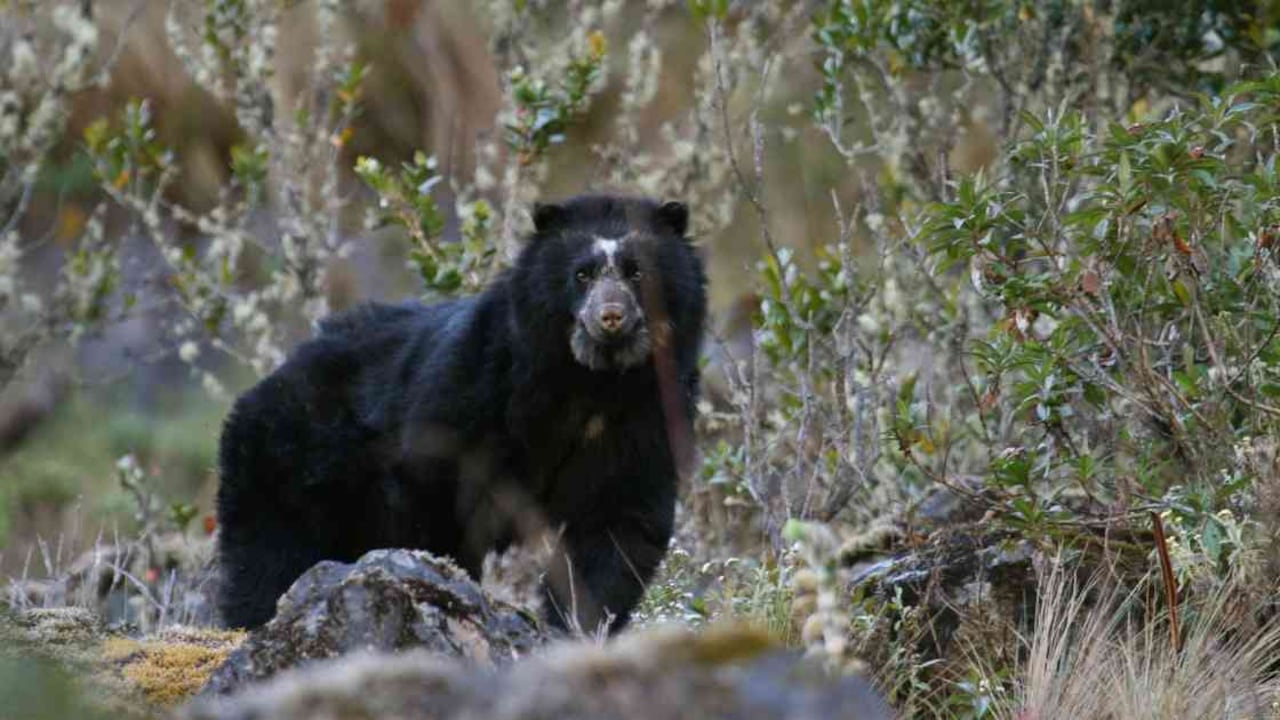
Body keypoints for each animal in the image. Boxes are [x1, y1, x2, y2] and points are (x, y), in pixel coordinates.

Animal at [215, 194, 707, 634]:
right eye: (581, 274)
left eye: (637, 272)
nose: (610, 317)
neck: (591, 383)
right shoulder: (475, 388)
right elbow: (432, 489)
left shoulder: (648, 416)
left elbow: (618, 522)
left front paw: (580, 625)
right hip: (290, 464)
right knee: (267, 557)